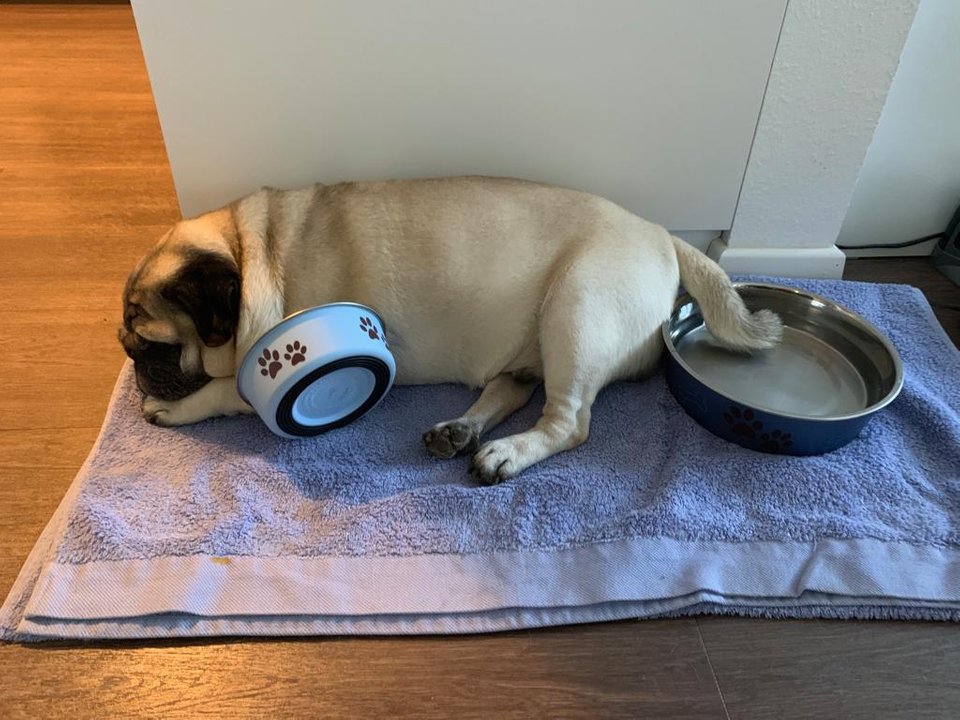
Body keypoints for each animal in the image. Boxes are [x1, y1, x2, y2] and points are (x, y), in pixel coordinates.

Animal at [120, 176, 780, 484]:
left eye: (155, 347)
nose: (134, 367)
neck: (246, 246)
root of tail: (663, 235)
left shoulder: (260, 363)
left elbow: (220, 390)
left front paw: (172, 406)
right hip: (539, 343)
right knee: (511, 388)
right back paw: (460, 431)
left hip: (579, 309)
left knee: (568, 421)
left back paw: (505, 454)